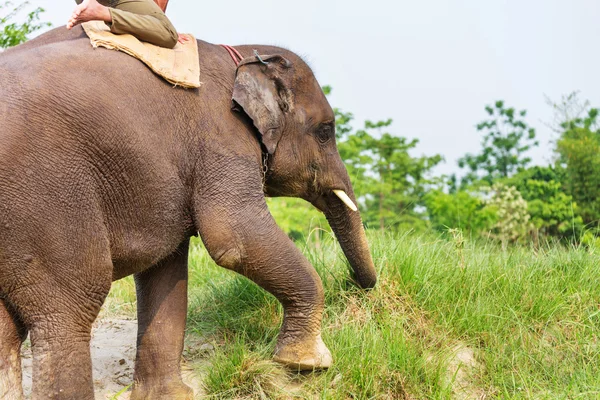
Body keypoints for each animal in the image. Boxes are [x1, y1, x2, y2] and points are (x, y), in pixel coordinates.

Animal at [0, 25, 376, 400]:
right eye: (325, 132)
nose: (358, 285)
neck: (240, 54)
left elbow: (165, 268)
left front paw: (170, 397)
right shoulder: (221, 135)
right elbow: (234, 237)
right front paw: (305, 364)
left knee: (8, 330)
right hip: (46, 197)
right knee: (71, 305)